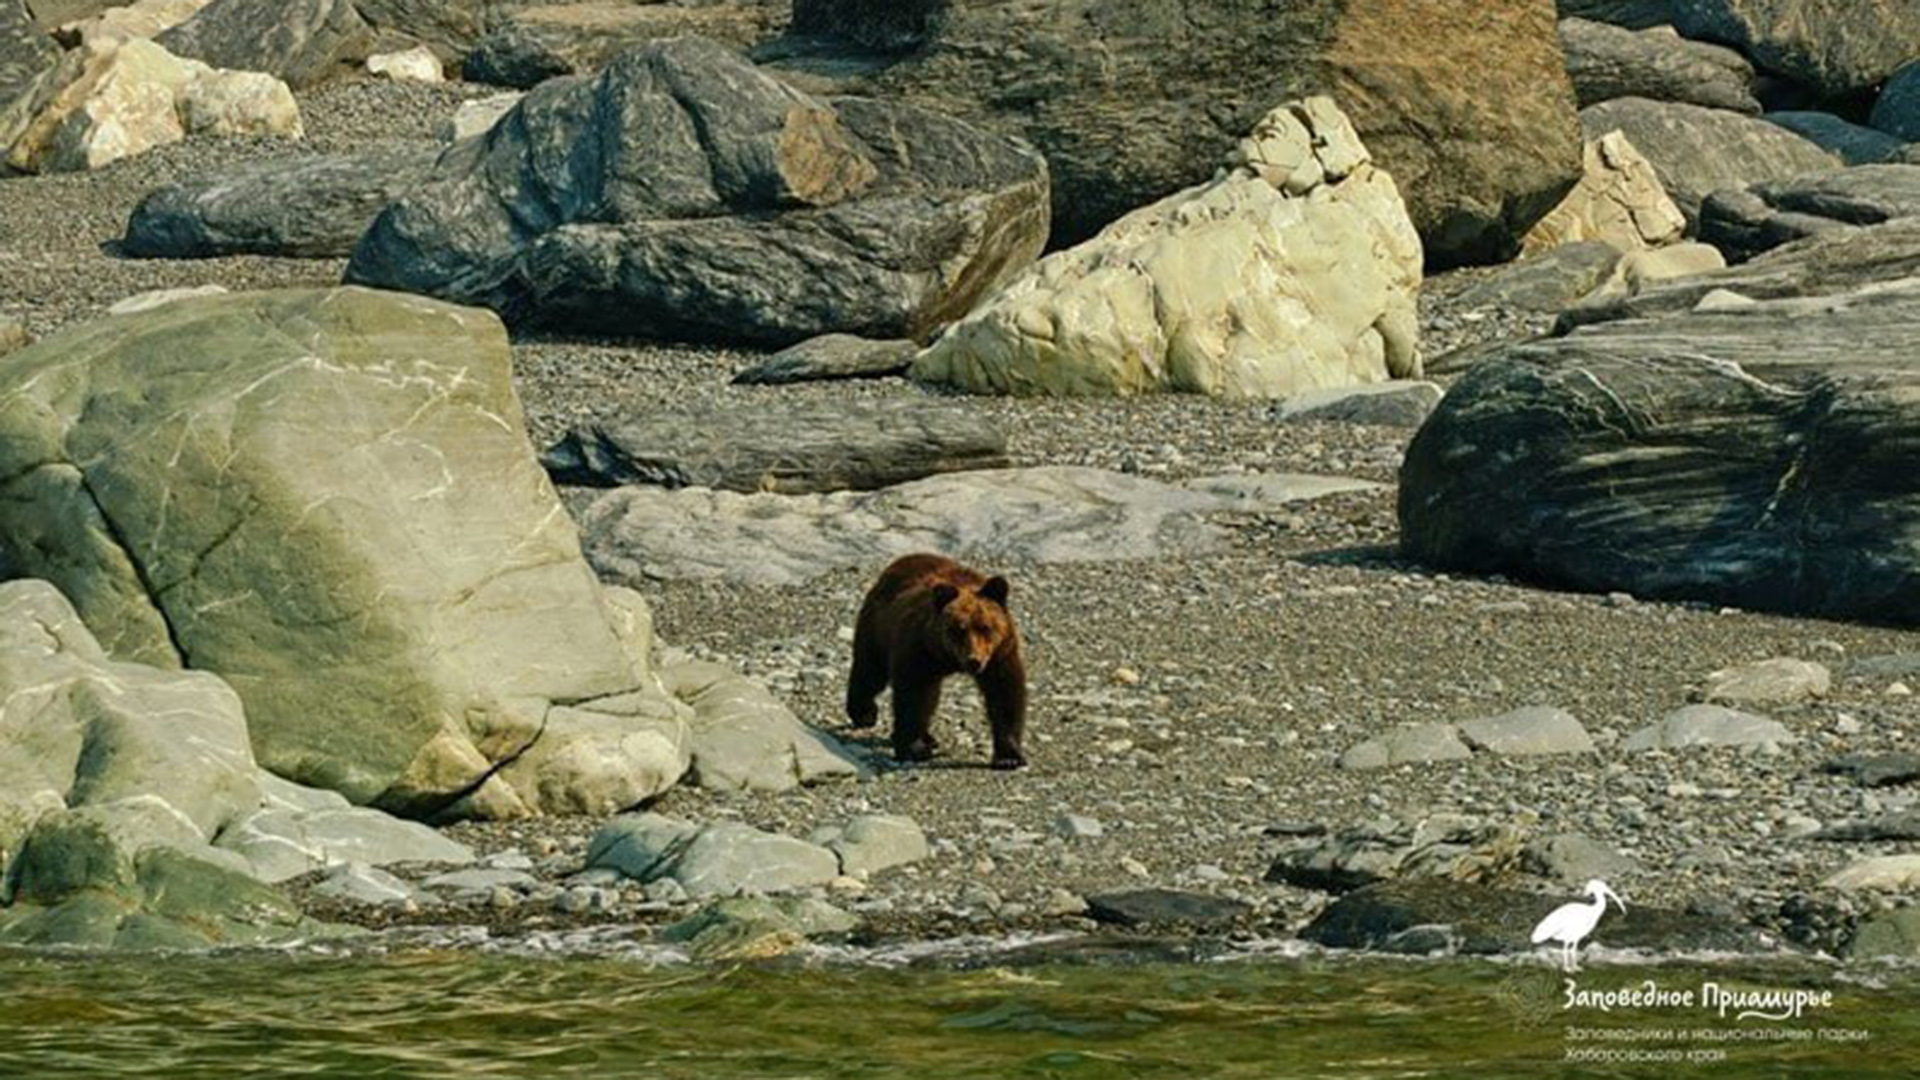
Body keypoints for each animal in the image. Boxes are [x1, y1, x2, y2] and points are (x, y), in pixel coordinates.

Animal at [848, 553, 1029, 764]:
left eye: (985, 627)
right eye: (959, 629)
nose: (974, 660)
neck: (948, 658)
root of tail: (902, 560)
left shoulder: (999, 655)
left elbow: (1005, 696)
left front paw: (1009, 756)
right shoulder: (920, 648)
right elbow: (914, 695)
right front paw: (915, 748)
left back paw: (929, 737)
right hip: (878, 628)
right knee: (870, 671)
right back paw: (864, 713)